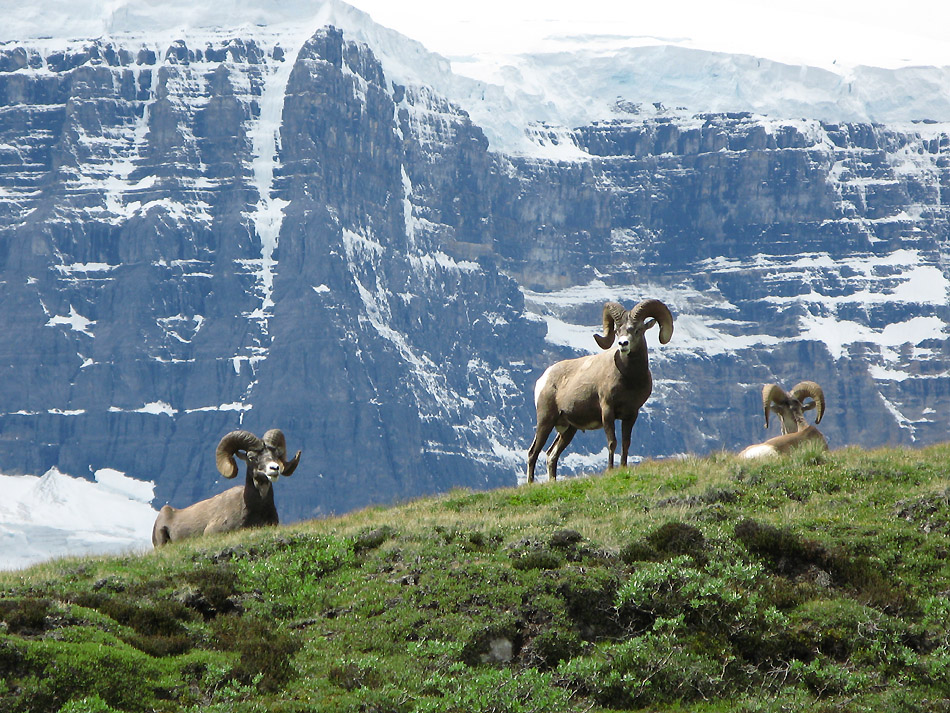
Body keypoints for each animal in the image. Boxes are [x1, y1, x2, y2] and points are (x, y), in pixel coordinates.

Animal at [528, 298, 676, 482]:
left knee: (551, 455)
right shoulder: (607, 411)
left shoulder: (631, 414)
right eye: (617, 331)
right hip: (545, 420)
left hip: (568, 429)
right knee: (533, 453)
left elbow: (626, 443)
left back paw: (553, 481)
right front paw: (610, 470)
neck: (629, 379)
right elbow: (612, 442)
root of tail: (543, 378)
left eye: (637, 330)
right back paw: (530, 484)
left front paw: (623, 468)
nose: (623, 344)